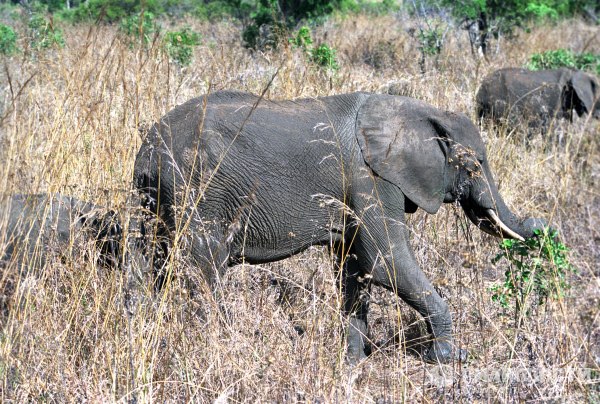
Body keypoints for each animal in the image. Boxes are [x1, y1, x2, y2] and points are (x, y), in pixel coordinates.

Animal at [134, 90, 548, 362]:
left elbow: (354, 270)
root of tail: (147, 150)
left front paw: (353, 363)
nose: (542, 225)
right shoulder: (371, 180)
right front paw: (449, 356)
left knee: (148, 266)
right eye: (477, 163)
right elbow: (385, 263)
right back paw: (220, 347)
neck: (414, 109)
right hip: (197, 192)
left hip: (153, 200)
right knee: (202, 271)